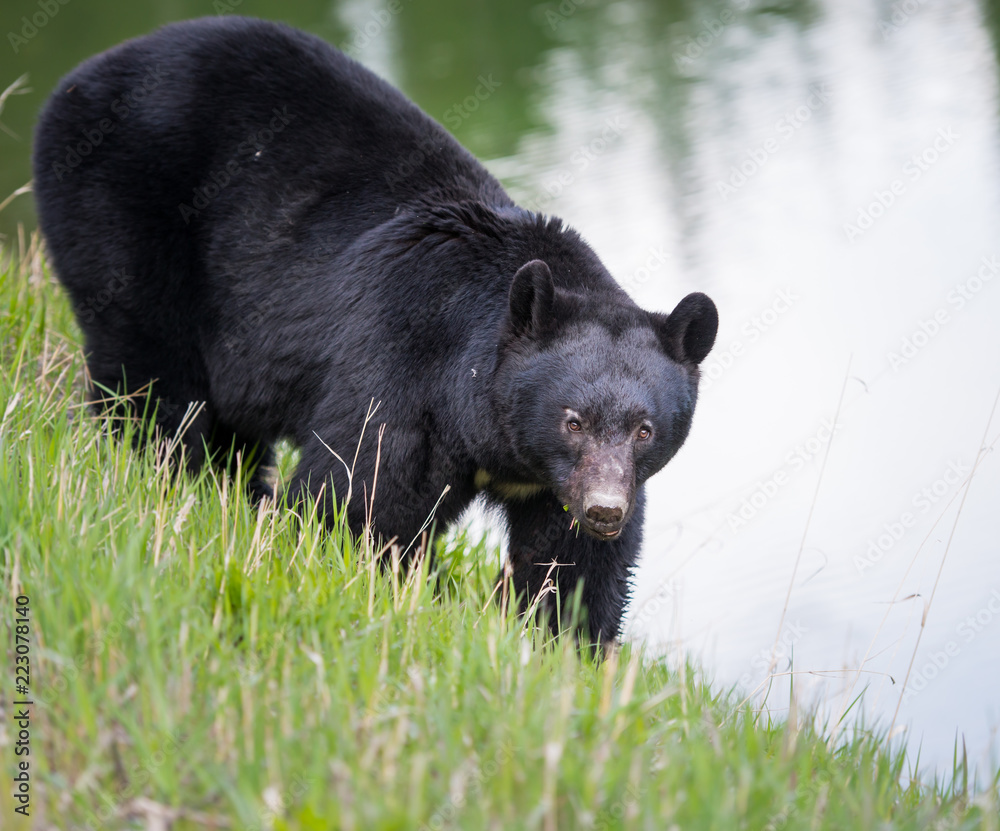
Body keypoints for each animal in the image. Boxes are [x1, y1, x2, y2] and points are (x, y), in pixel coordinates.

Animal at [32, 16, 718, 646]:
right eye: (572, 420)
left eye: (645, 430)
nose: (604, 508)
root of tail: (80, 76)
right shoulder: (402, 365)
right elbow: (360, 494)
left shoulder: (554, 482)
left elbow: (573, 563)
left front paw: (564, 643)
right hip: (121, 212)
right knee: (154, 381)